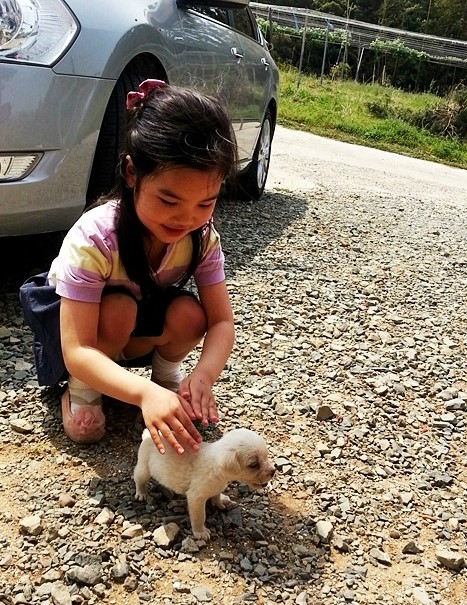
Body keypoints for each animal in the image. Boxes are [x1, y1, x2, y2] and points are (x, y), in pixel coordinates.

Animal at [133, 428, 276, 540]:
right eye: (254, 465)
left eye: (266, 456)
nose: (274, 471)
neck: (217, 468)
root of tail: (148, 435)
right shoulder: (196, 498)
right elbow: (199, 517)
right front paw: (200, 532)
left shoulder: (217, 487)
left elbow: (216, 495)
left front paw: (220, 502)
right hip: (143, 469)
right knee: (139, 480)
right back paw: (141, 493)